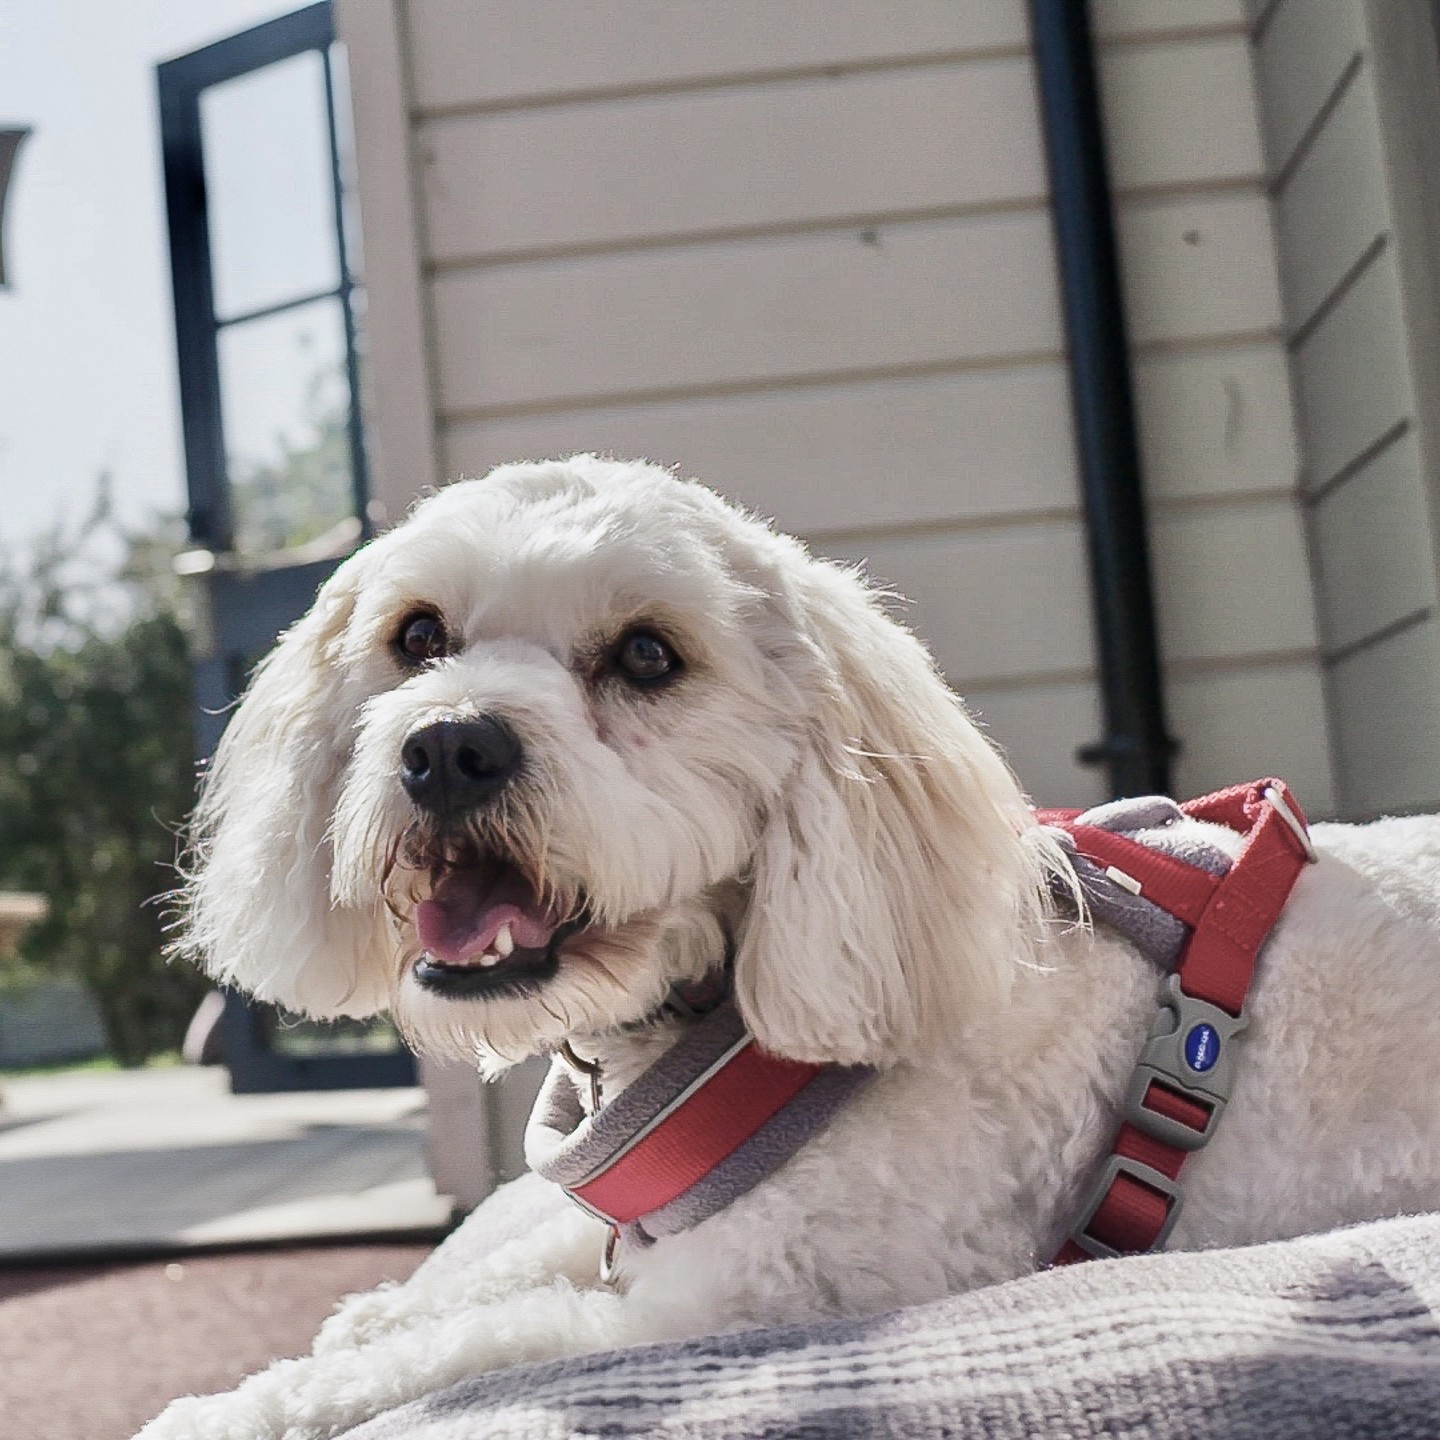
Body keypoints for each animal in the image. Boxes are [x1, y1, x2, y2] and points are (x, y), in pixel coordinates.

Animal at [143, 457, 1440, 1440]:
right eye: (417, 636)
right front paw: (371, 1313)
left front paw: (234, 1408)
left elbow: (476, 1348)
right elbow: (513, 1255)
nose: (449, 748)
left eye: (650, 657)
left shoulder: (738, 1304)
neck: (706, 1030)